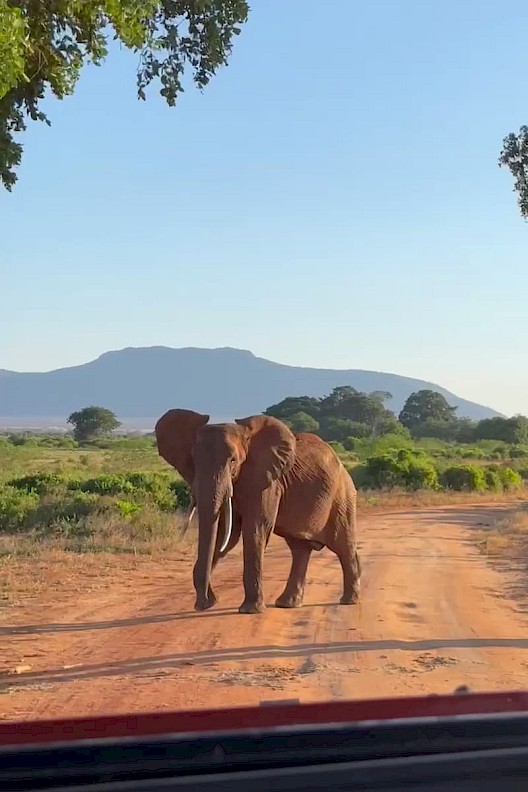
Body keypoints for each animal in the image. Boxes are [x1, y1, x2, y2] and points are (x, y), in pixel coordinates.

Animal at [153, 412, 358, 616]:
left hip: (342, 497)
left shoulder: (266, 482)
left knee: (342, 545)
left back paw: (349, 601)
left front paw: (250, 610)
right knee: (300, 549)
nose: (204, 603)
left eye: (233, 461)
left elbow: (255, 529)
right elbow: (226, 534)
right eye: (194, 461)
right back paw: (287, 604)